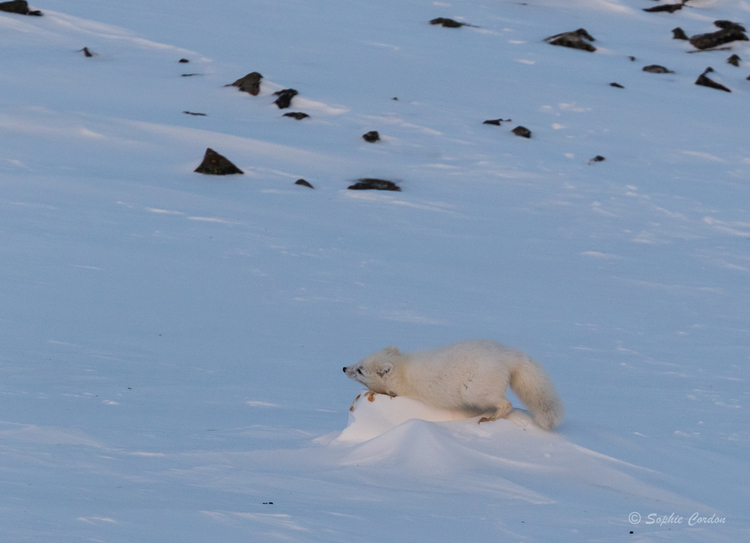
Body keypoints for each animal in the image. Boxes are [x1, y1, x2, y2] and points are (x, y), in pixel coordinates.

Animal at [344, 340, 568, 430]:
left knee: (506, 404)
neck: (404, 370)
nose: (344, 368)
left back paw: (489, 418)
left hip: (474, 391)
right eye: (359, 362)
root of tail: (506, 354)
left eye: (360, 370)